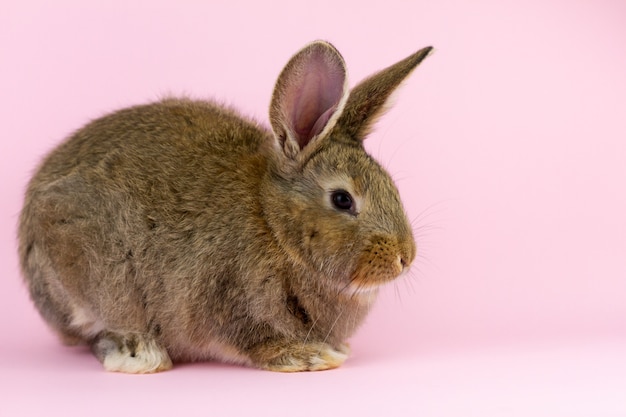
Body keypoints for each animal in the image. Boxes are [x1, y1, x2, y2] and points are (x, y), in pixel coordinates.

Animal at [17, 40, 432, 372]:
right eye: (342, 199)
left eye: (391, 185)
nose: (405, 257)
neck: (274, 225)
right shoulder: (228, 300)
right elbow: (255, 341)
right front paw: (311, 356)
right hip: (90, 265)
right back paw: (140, 355)